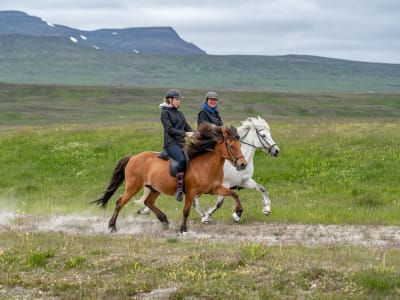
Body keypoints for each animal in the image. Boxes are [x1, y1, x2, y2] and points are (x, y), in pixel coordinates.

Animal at [91, 123, 247, 233]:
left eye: (240, 145)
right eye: (231, 146)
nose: (243, 164)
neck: (206, 165)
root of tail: (133, 157)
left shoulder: (214, 188)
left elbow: (234, 193)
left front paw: (238, 213)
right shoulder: (191, 192)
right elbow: (186, 210)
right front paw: (183, 229)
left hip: (154, 188)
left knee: (148, 202)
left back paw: (164, 220)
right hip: (133, 186)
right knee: (120, 202)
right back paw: (112, 227)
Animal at [136, 116, 280, 224]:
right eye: (263, 135)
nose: (276, 151)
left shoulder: (244, 181)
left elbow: (261, 188)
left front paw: (267, 209)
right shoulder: (224, 184)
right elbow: (220, 202)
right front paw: (230, 215)